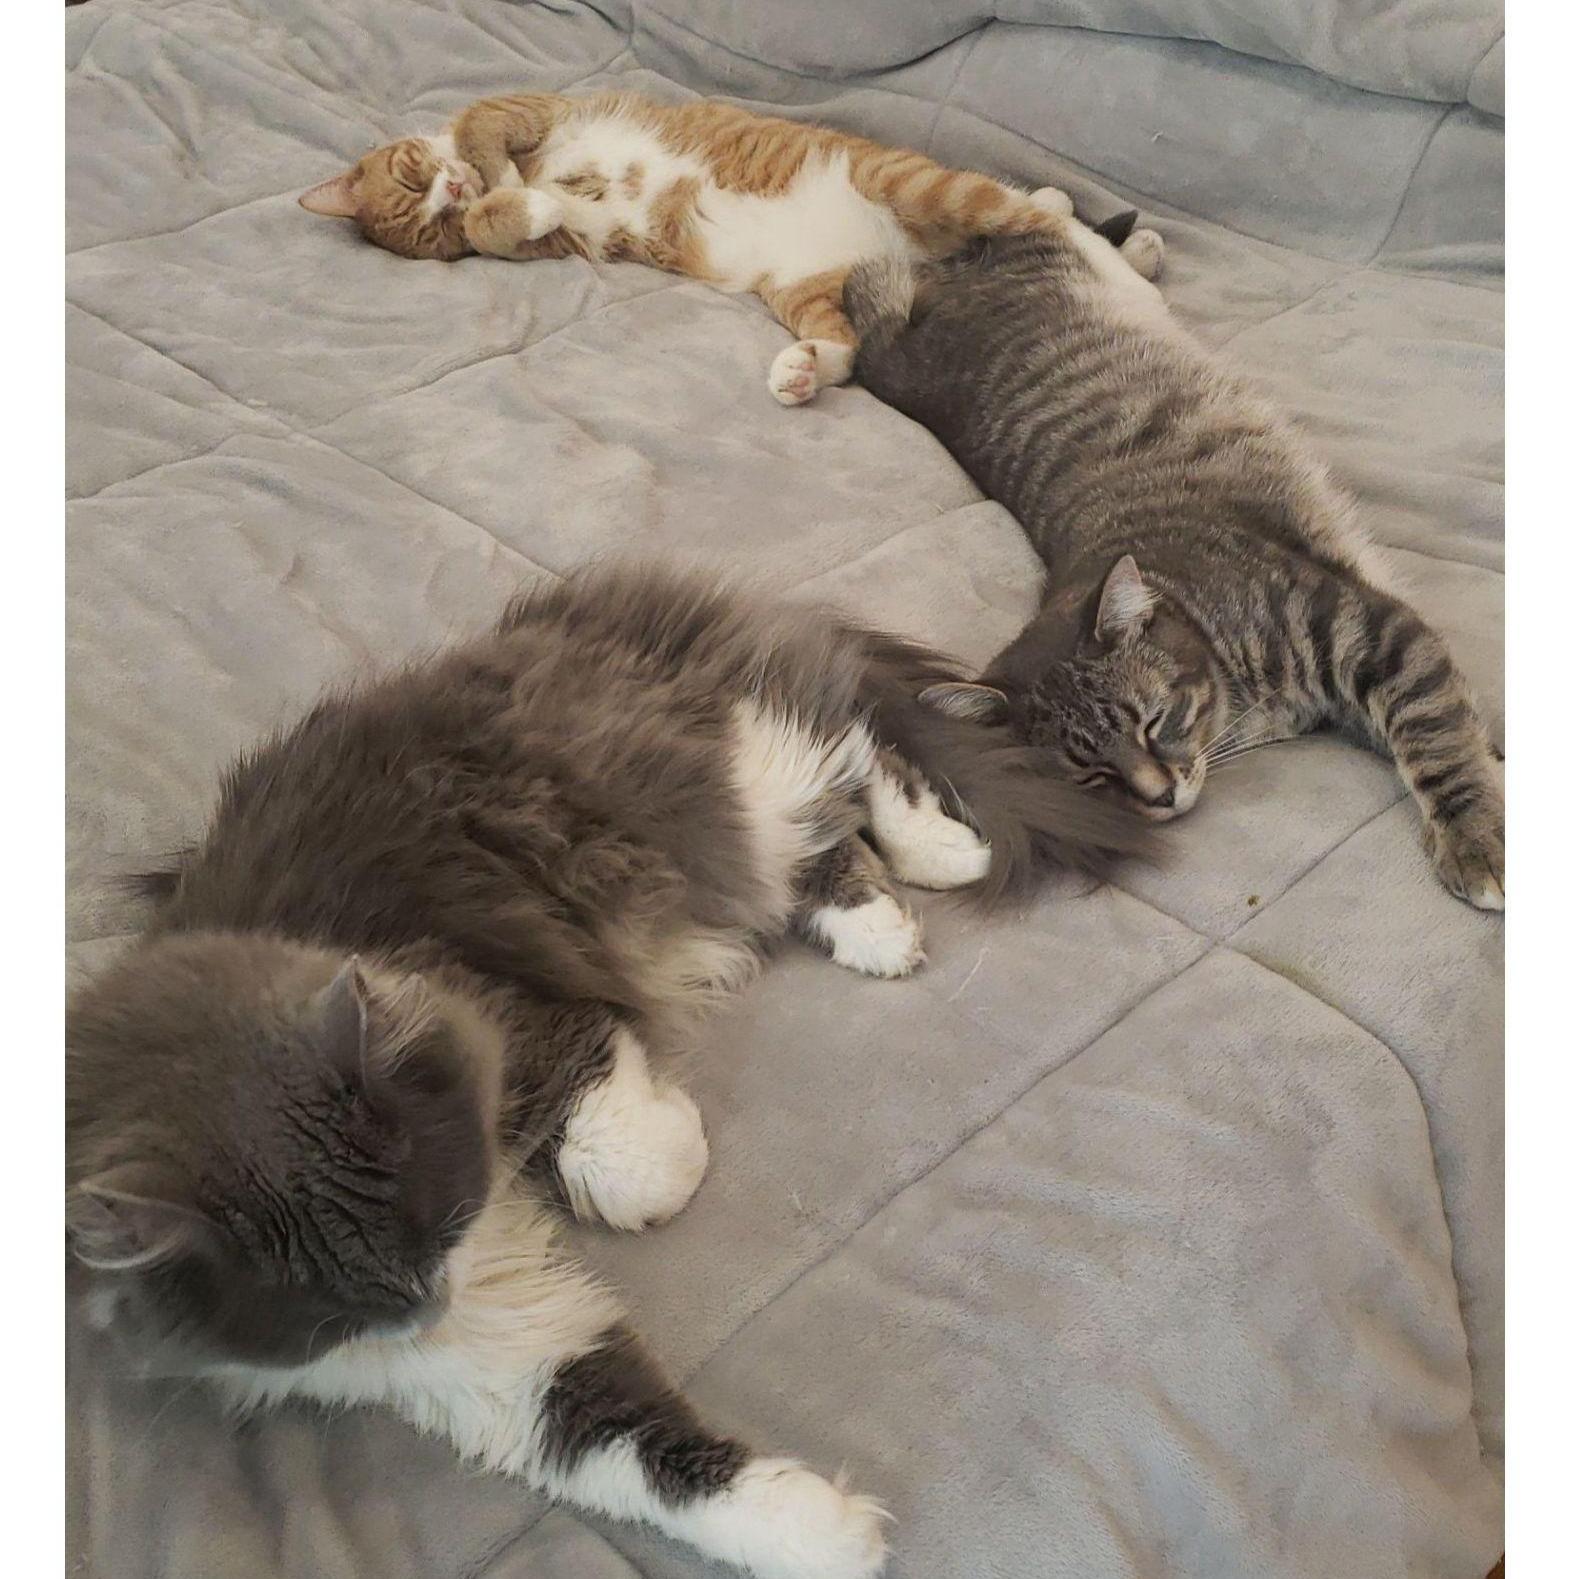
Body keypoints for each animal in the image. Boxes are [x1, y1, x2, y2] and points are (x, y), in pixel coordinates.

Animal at [67, 562, 1149, 1572]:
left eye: (436, 1221)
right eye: (342, 1307)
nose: (432, 1299)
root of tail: (573, 608)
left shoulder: (527, 1018)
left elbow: (628, 1164)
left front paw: (669, 1150)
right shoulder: (488, 1362)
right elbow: (649, 1458)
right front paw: (832, 1537)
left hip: (722, 778)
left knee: (852, 741)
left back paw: (937, 859)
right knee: (829, 806)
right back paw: (883, 915)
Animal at [301, 90, 1168, 407]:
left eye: (414, 180)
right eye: (430, 232)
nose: (450, 191)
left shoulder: (522, 108)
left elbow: (489, 142)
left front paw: (501, 184)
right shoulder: (544, 246)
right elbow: (511, 223)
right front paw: (515, 201)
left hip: (916, 186)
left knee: (1046, 220)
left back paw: (1131, 258)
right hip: (807, 285)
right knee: (846, 345)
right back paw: (801, 370)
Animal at [852, 228, 1503, 909]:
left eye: (1154, 723)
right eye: (1091, 774)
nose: (1160, 796)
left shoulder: (1370, 630)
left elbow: (1437, 738)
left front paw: (1475, 835)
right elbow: (1445, 725)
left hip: (1033, 261)